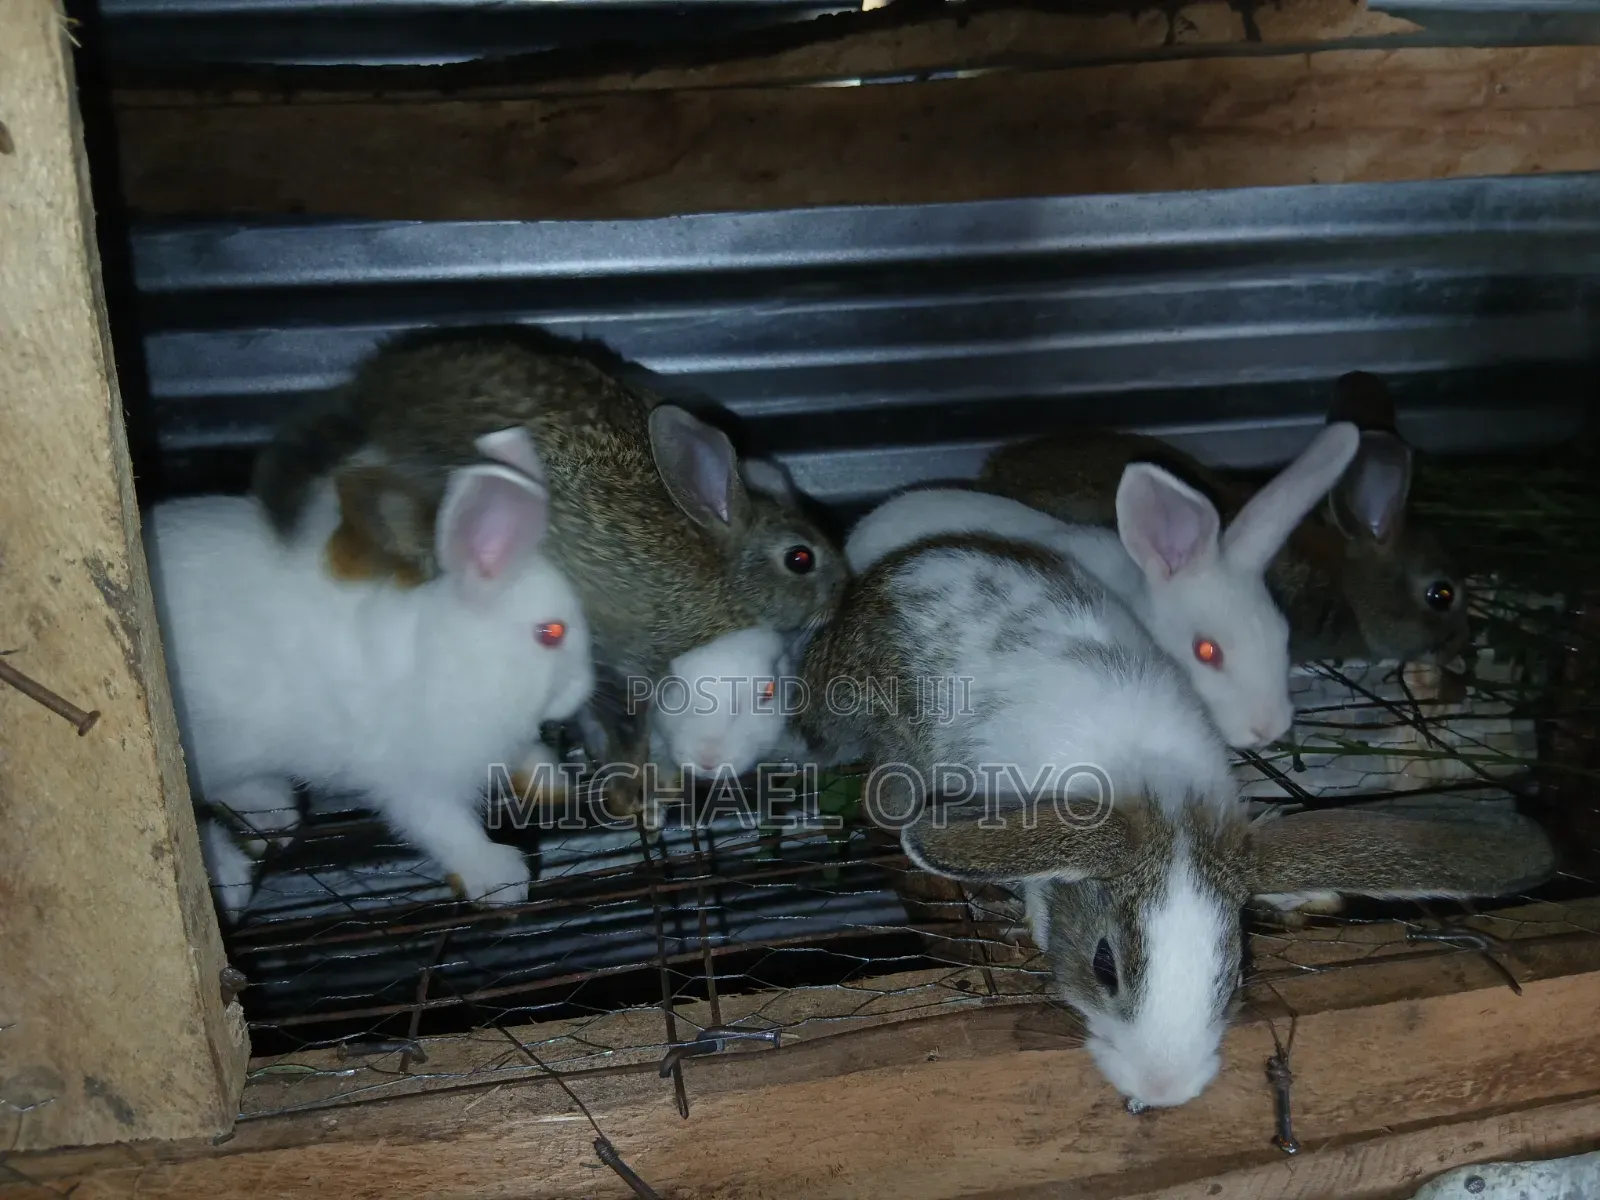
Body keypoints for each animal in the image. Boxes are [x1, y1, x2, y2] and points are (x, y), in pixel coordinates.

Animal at [145, 456, 596, 923]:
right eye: (550, 633)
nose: (582, 690)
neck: (453, 654)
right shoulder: (410, 777)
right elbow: (445, 826)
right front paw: (500, 880)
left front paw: (555, 779)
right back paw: (231, 878)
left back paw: (274, 810)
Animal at [247, 326, 847, 819]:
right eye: (801, 559)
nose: (840, 594)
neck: (722, 568)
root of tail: (377, 388)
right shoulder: (621, 656)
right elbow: (618, 721)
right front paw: (637, 792)